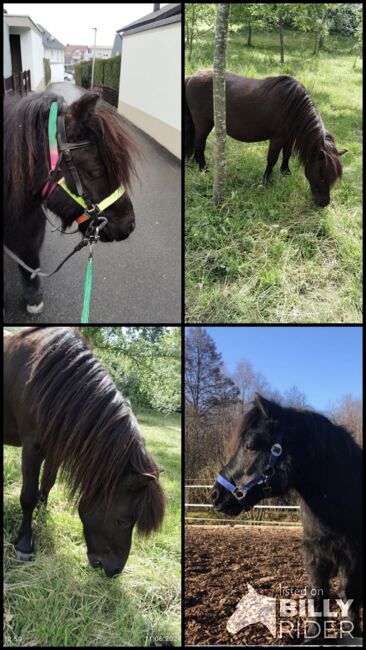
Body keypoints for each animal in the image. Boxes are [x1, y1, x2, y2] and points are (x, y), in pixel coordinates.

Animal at [3, 326, 164, 576]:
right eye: (124, 521)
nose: (115, 571)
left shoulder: (55, 448)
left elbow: (47, 483)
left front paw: (43, 515)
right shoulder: (32, 449)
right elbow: (28, 495)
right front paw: (25, 544)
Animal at [184, 69, 348, 205]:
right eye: (321, 176)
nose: (324, 203)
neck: (293, 106)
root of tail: (192, 76)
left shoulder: (289, 137)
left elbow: (287, 154)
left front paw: (285, 172)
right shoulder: (277, 138)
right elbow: (272, 159)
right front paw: (266, 181)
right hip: (203, 123)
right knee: (199, 145)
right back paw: (203, 169)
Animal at [212, 392, 364, 636]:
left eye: (250, 445)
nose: (216, 494)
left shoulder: (352, 555)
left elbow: (348, 596)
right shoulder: (315, 553)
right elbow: (317, 595)